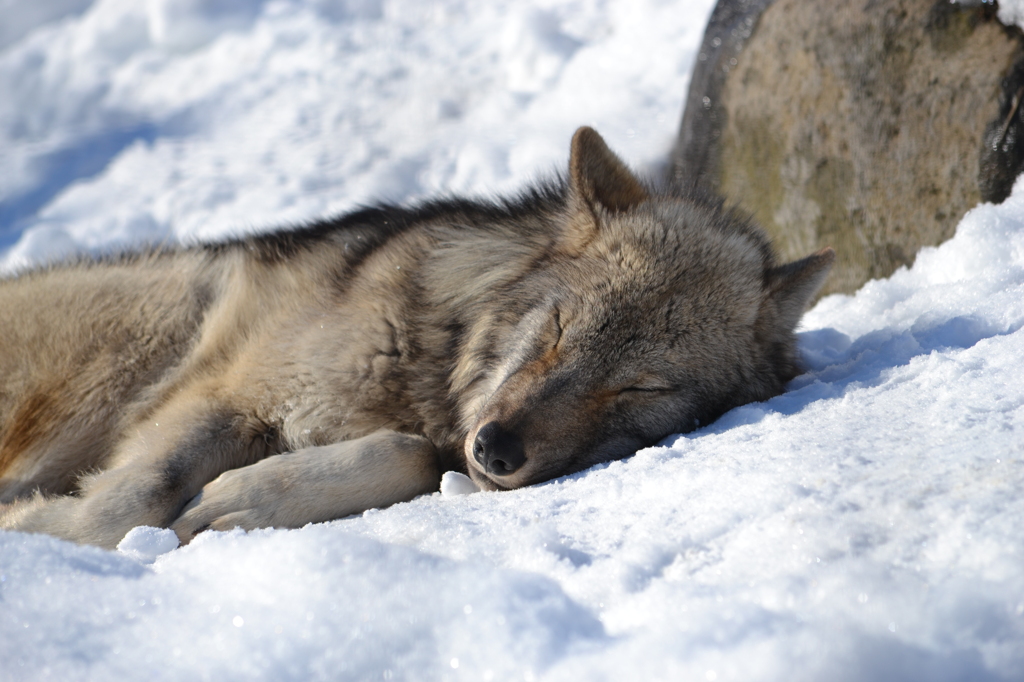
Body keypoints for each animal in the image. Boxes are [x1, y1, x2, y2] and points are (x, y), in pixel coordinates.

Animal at [0, 125, 831, 548]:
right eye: (559, 329)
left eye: (639, 385)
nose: (496, 450)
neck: (426, 359)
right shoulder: (223, 395)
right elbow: (133, 499)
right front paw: (35, 529)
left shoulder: (423, 438)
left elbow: (407, 454)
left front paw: (236, 503)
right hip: (153, 323)